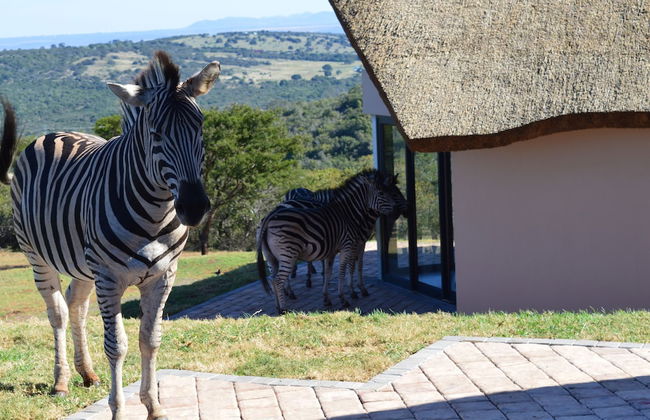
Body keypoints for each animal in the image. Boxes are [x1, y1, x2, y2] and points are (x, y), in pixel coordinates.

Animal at [0, 51, 219, 420]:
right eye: (156, 133)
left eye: (200, 127)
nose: (194, 207)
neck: (156, 211)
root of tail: (54, 134)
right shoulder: (109, 277)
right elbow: (117, 345)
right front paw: (118, 410)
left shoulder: (163, 277)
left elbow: (150, 339)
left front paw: (154, 406)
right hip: (37, 256)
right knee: (58, 312)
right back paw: (61, 381)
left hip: (82, 263)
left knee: (76, 303)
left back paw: (86, 373)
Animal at [257, 169, 407, 314]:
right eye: (383, 193)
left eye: (392, 192)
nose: (400, 211)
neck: (350, 215)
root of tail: (270, 216)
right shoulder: (350, 246)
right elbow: (345, 270)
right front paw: (346, 297)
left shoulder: (331, 251)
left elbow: (329, 273)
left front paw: (327, 298)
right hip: (288, 253)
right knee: (278, 280)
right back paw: (284, 309)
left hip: (271, 256)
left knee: (272, 279)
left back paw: (278, 307)